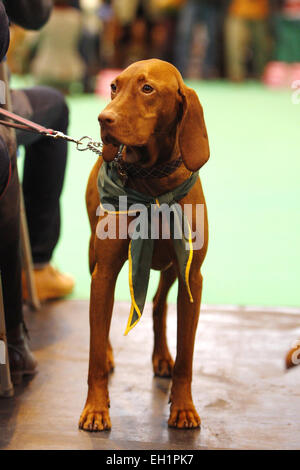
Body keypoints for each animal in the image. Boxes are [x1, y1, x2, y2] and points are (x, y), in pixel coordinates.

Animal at [79, 57, 211, 430]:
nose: (103, 119)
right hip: (94, 257)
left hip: (170, 267)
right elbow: (95, 349)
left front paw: (183, 407)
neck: (153, 185)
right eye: (113, 86)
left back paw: (162, 357)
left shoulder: (191, 276)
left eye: (148, 88)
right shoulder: (105, 272)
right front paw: (96, 408)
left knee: (158, 304)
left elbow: (187, 357)